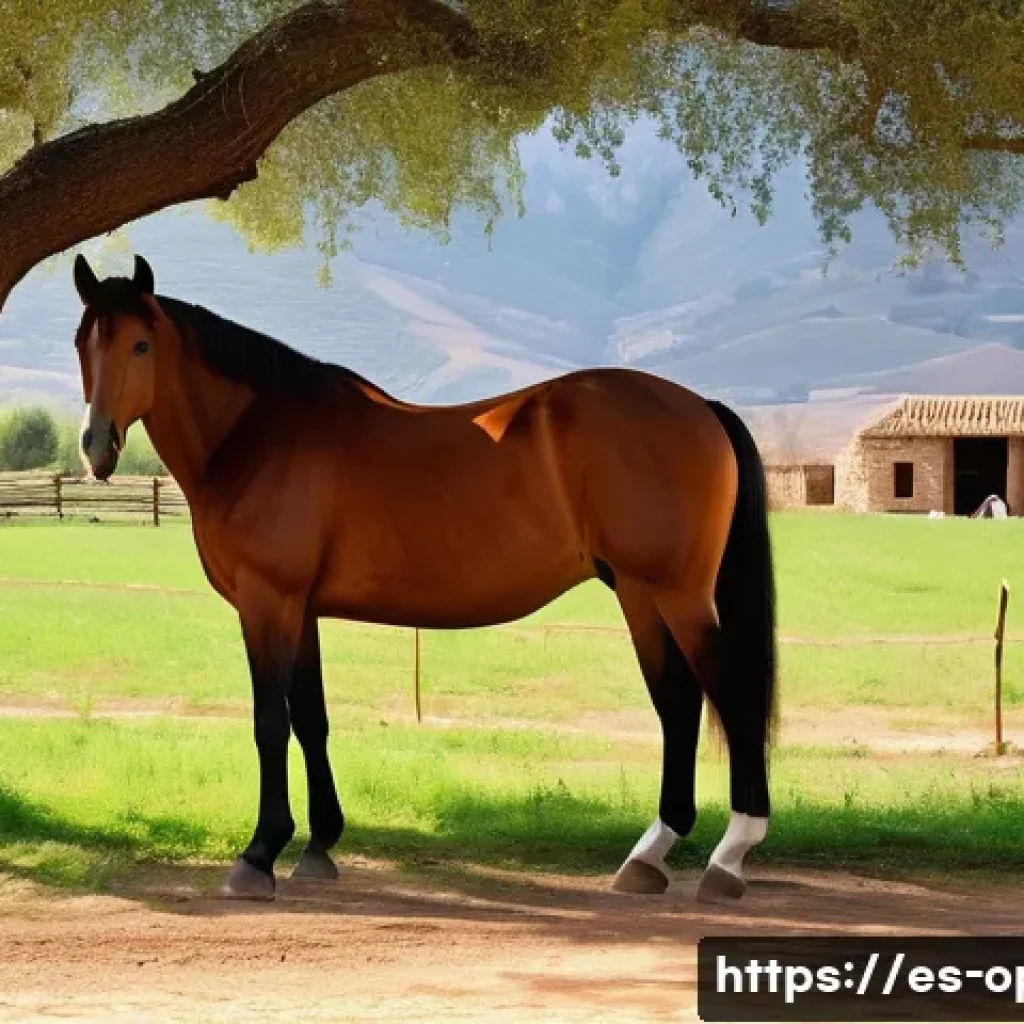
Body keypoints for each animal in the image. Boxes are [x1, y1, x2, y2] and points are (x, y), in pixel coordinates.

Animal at [71, 253, 777, 903]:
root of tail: (700, 406)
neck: (256, 434)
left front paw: (259, 854)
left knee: (730, 696)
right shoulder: (302, 608)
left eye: (140, 343)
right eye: (84, 341)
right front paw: (319, 846)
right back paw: (649, 856)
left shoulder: (267, 600)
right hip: (637, 592)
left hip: (675, 593)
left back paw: (728, 857)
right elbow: (312, 720)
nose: (97, 447)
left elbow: (270, 721)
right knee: (679, 704)